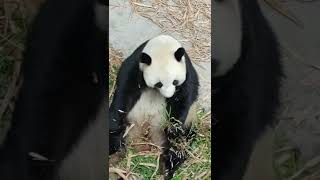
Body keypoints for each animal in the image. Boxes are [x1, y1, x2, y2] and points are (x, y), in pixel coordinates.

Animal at [110, 34, 199, 179]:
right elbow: (124, 91)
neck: (163, 44)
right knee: (116, 136)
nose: (169, 95)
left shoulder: (187, 73)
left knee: (181, 143)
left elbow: (184, 98)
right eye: (159, 84)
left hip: (185, 127)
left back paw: (167, 166)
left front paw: (173, 127)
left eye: (175, 81)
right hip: (129, 124)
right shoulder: (136, 66)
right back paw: (115, 152)